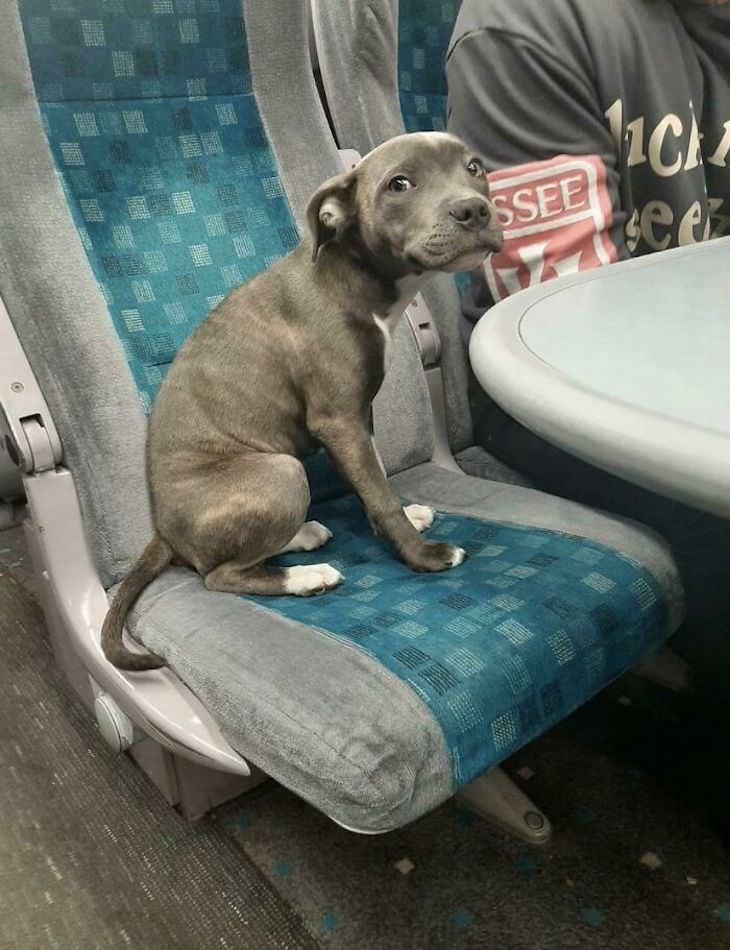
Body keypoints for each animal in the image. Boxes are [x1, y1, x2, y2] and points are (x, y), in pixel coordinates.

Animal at [102, 132, 500, 668]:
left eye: (474, 167)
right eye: (399, 184)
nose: (474, 210)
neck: (349, 277)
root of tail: (164, 531)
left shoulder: (359, 417)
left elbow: (374, 483)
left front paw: (403, 515)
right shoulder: (338, 421)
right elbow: (377, 494)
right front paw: (421, 554)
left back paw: (303, 535)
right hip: (280, 471)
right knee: (220, 575)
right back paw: (305, 577)